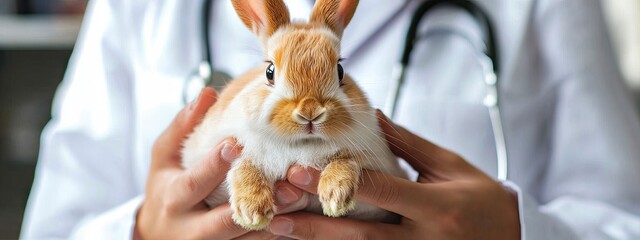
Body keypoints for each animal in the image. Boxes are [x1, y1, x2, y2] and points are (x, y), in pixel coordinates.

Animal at [182, 0, 408, 231]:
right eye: (269, 71)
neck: (301, 145)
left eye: (340, 70)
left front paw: (336, 198)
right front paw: (251, 212)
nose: (310, 111)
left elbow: (347, 160)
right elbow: (243, 166)